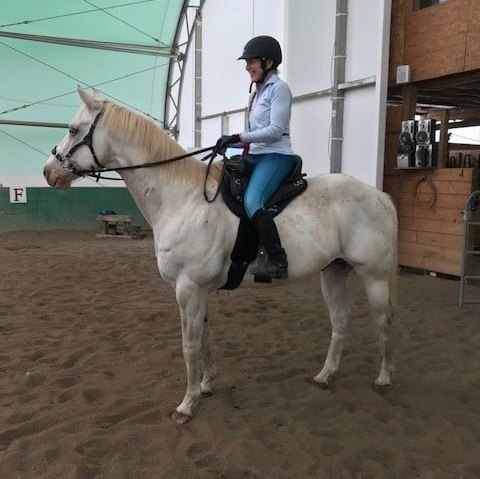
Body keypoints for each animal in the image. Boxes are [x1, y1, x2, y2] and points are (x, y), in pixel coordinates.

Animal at [44, 86, 398, 424]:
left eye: (73, 130)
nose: (49, 172)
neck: (182, 198)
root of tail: (379, 196)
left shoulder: (188, 287)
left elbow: (189, 345)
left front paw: (186, 405)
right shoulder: (196, 290)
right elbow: (204, 338)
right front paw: (206, 385)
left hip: (374, 278)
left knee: (384, 324)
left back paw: (384, 378)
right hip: (333, 271)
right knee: (340, 322)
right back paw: (325, 376)